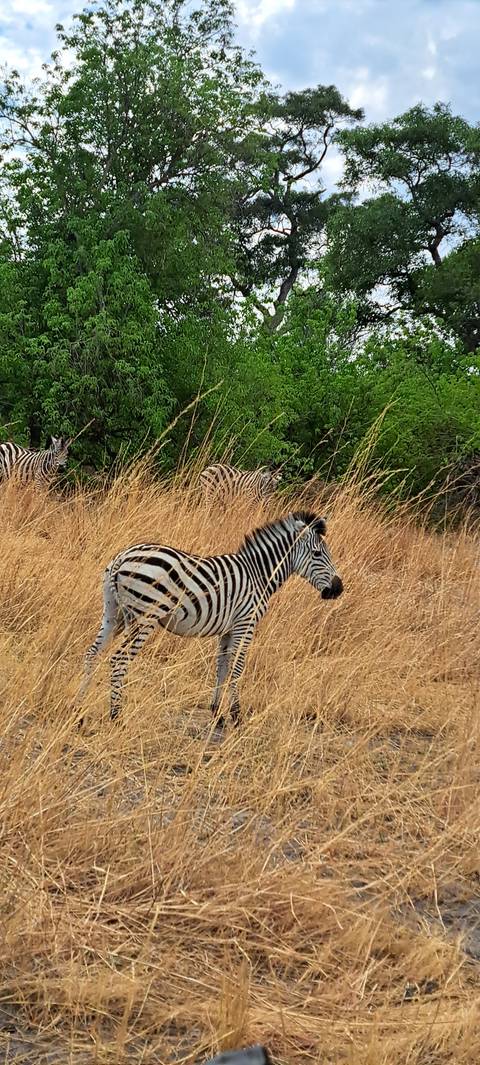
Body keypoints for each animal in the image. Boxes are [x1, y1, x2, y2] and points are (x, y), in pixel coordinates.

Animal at [77, 511, 343, 727]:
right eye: (318, 554)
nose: (338, 589)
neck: (259, 575)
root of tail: (122, 557)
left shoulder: (228, 629)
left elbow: (221, 667)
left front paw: (217, 713)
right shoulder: (245, 624)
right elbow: (237, 668)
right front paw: (236, 716)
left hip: (114, 613)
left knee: (92, 654)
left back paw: (79, 712)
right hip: (146, 616)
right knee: (119, 659)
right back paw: (116, 717)